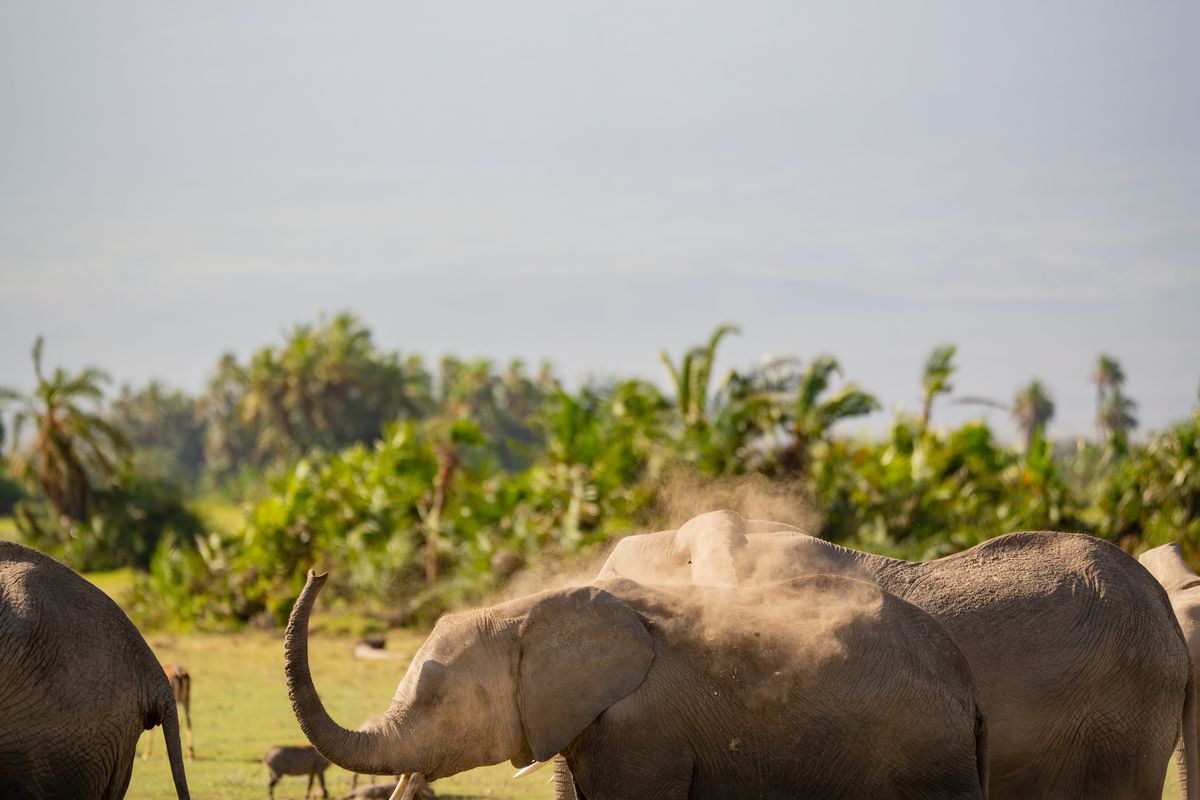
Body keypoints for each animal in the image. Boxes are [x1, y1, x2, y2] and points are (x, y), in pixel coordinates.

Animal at [285, 568, 990, 799]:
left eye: (436, 699)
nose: (320, 569)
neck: (528, 610)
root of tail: (968, 688)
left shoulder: (643, 733)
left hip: (923, 757)